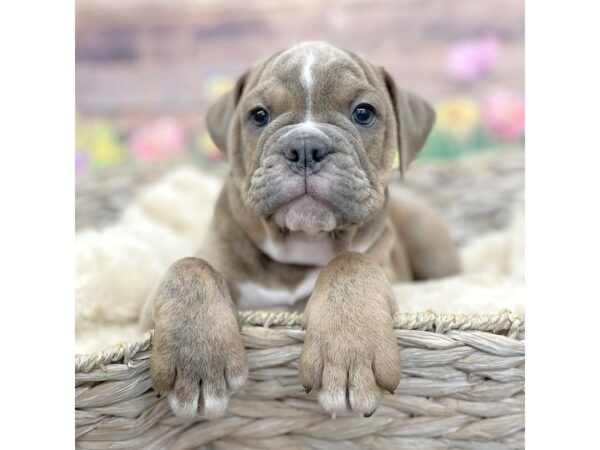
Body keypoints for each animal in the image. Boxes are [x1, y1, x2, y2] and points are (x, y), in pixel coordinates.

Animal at [141, 41, 460, 418]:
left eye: (363, 113)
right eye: (259, 115)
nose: (306, 147)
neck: (302, 244)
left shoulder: (385, 269)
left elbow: (351, 263)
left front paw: (349, 353)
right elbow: (189, 266)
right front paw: (198, 358)